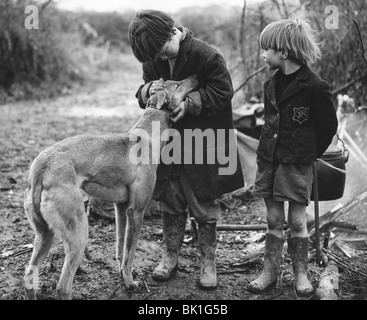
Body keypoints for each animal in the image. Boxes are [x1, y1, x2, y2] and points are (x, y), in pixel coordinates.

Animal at [23, 74, 198, 298]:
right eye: (177, 84)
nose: (195, 76)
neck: (147, 136)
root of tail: (40, 167)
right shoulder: (136, 211)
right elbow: (130, 253)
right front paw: (130, 283)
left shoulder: (121, 208)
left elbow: (121, 248)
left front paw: (122, 275)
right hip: (79, 233)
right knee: (63, 287)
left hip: (44, 235)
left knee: (28, 278)